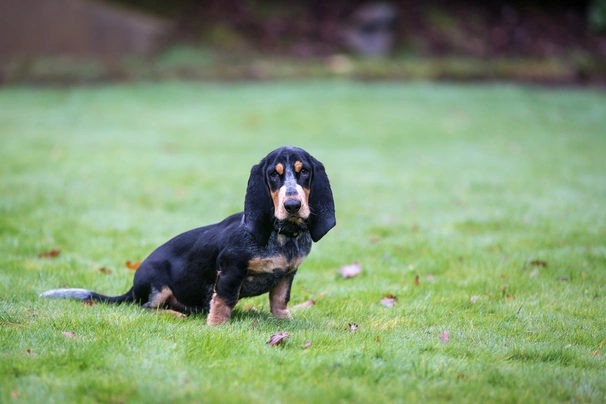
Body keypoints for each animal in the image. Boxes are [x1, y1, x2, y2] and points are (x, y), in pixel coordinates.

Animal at [41, 145, 338, 326]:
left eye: (304, 172)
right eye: (273, 176)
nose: (292, 205)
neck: (283, 236)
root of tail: (132, 288)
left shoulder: (287, 274)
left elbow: (279, 300)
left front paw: (285, 321)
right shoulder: (231, 269)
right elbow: (223, 300)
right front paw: (217, 326)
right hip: (157, 286)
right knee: (147, 307)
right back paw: (174, 314)